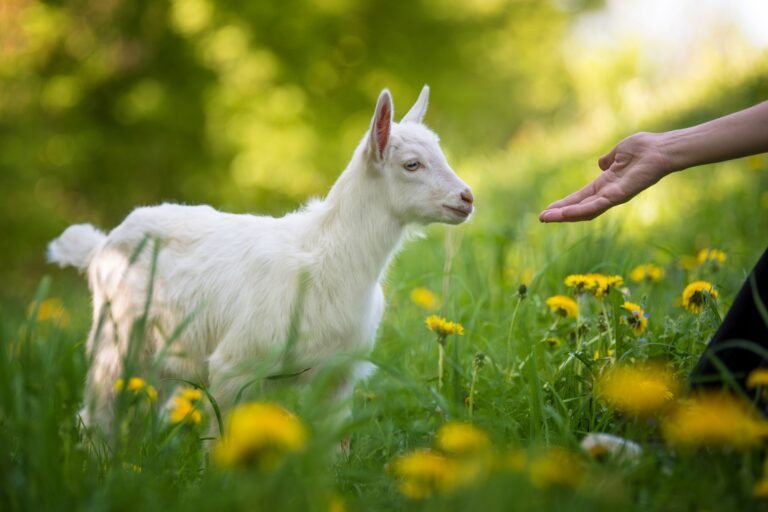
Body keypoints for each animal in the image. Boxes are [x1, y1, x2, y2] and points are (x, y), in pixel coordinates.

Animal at [48, 85, 474, 435]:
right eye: (412, 164)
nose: (467, 198)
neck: (329, 254)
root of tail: (100, 246)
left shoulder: (335, 376)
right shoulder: (235, 367)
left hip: (163, 355)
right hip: (114, 342)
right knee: (97, 417)